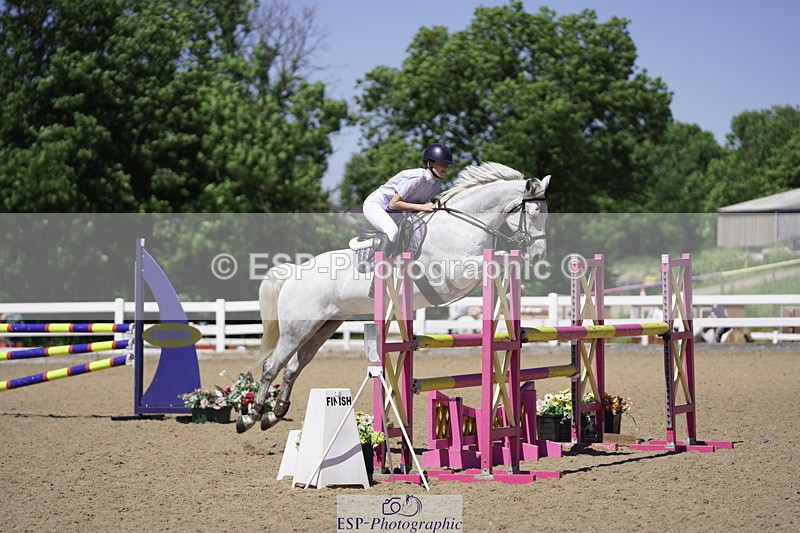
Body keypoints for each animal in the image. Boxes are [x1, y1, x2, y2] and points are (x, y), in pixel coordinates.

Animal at [236, 161, 550, 433]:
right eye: (534, 213)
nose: (536, 255)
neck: (463, 225)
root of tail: (293, 272)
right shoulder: (455, 272)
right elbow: (492, 261)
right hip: (297, 328)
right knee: (271, 367)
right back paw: (250, 417)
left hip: (323, 326)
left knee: (292, 368)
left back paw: (274, 414)